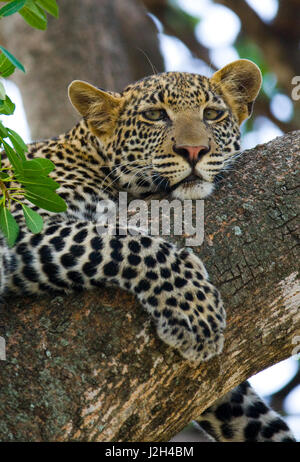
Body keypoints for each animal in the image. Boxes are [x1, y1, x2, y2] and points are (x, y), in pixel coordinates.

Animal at [0, 59, 296, 442]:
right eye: (155, 115)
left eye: (212, 114)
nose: (194, 151)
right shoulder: (22, 227)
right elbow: (121, 240)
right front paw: (193, 310)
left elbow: (253, 415)